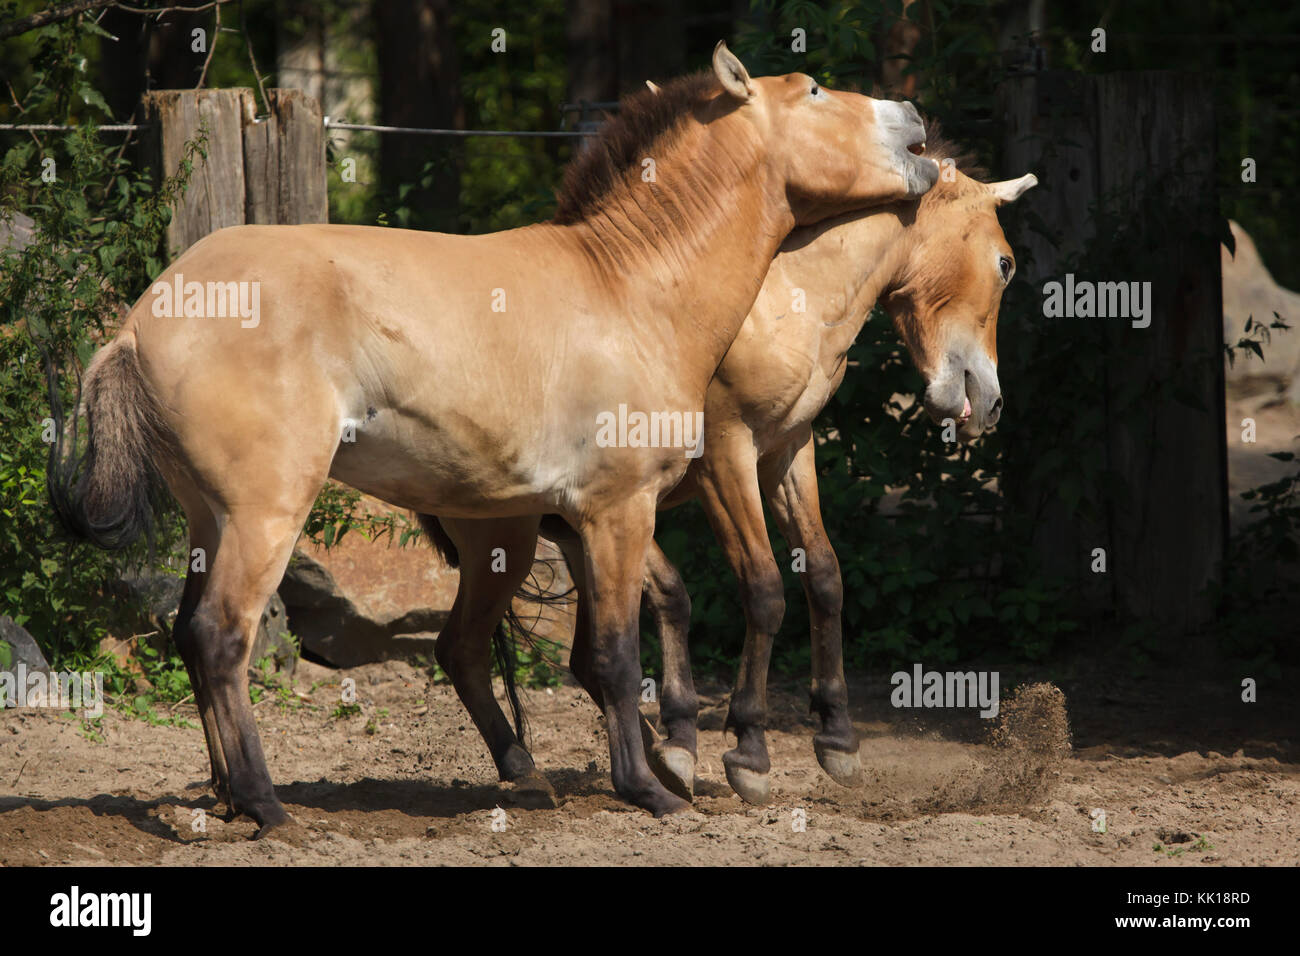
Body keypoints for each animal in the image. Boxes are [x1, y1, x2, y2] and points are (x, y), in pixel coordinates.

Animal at [50, 44, 941, 832]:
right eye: (815, 89)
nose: (916, 117)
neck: (632, 286)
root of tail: (142, 319)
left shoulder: (585, 522)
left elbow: (606, 656)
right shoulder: (619, 512)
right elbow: (618, 656)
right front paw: (649, 791)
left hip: (231, 518)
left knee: (203, 636)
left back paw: (244, 799)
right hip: (267, 514)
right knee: (221, 637)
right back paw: (268, 806)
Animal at [436, 130, 1034, 806]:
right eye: (1006, 263)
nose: (991, 403)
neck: (786, 298)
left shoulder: (788, 451)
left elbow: (823, 576)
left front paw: (837, 737)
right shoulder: (727, 459)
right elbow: (765, 588)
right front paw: (749, 748)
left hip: (579, 532)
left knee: (596, 647)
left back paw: (663, 754)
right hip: (507, 539)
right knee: (466, 649)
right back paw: (537, 766)